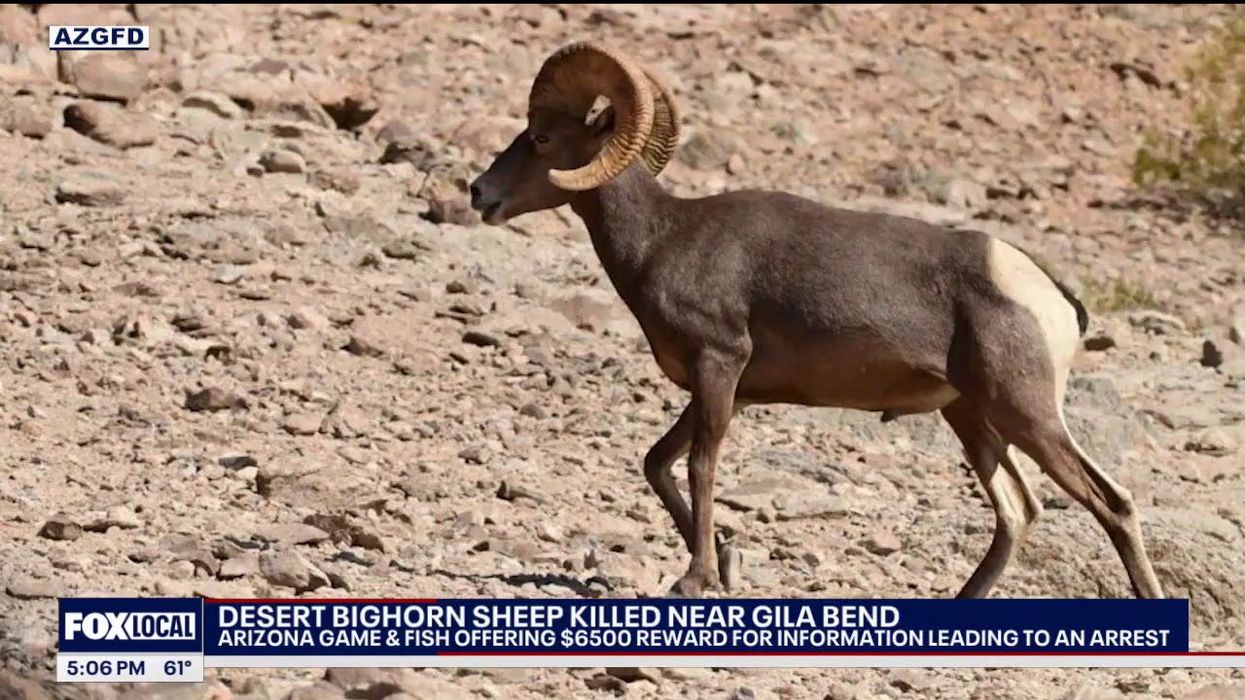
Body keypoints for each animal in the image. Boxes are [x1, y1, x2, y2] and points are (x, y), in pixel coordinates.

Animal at [469, 42, 1165, 599]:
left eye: (540, 137)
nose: (479, 193)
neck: (664, 239)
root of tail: (1052, 298)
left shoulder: (719, 367)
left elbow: (700, 466)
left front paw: (696, 578)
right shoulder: (725, 388)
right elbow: (658, 463)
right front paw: (726, 561)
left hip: (1025, 412)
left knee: (1111, 503)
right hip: (972, 417)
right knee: (1018, 511)